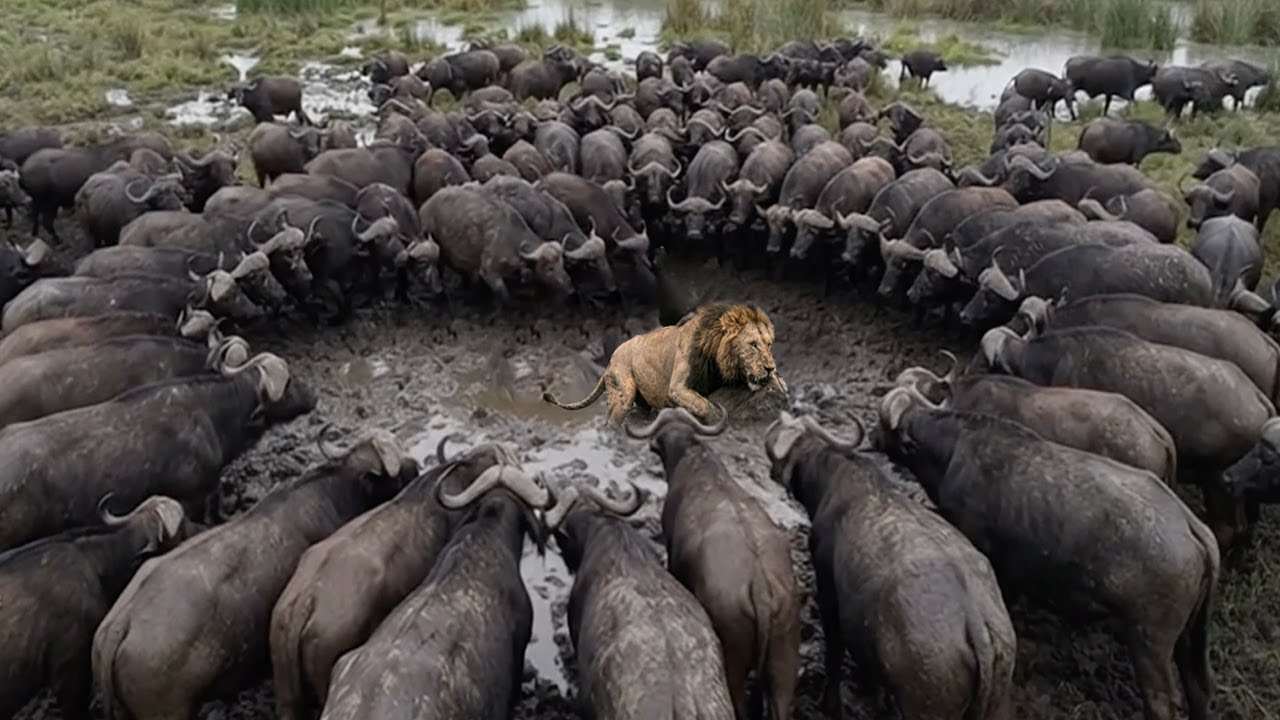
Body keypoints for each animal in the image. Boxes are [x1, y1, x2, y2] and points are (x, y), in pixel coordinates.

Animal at [543, 303, 786, 425]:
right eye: (753, 344)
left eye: (769, 344)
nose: (770, 368)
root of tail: (609, 362)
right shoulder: (677, 388)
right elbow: (705, 405)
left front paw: (779, 382)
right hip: (622, 393)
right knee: (611, 423)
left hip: (642, 402)